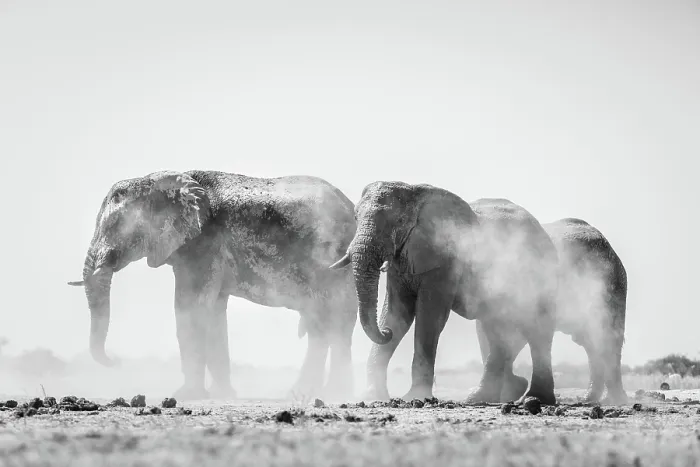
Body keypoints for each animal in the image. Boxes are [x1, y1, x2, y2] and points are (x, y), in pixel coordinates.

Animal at [68, 170, 376, 401]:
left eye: (116, 226)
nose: (115, 362)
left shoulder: (202, 244)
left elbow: (190, 309)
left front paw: (184, 395)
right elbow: (213, 313)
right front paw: (222, 394)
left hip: (327, 262)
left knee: (326, 324)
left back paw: (312, 394)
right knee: (333, 326)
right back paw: (328, 392)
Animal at [329, 182, 559, 405]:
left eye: (400, 220)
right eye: (356, 217)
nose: (385, 333)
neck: (414, 192)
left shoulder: (445, 262)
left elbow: (429, 318)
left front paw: (414, 398)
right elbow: (397, 313)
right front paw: (371, 396)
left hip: (537, 274)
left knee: (537, 330)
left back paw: (535, 398)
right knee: (496, 330)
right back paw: (480, 399)